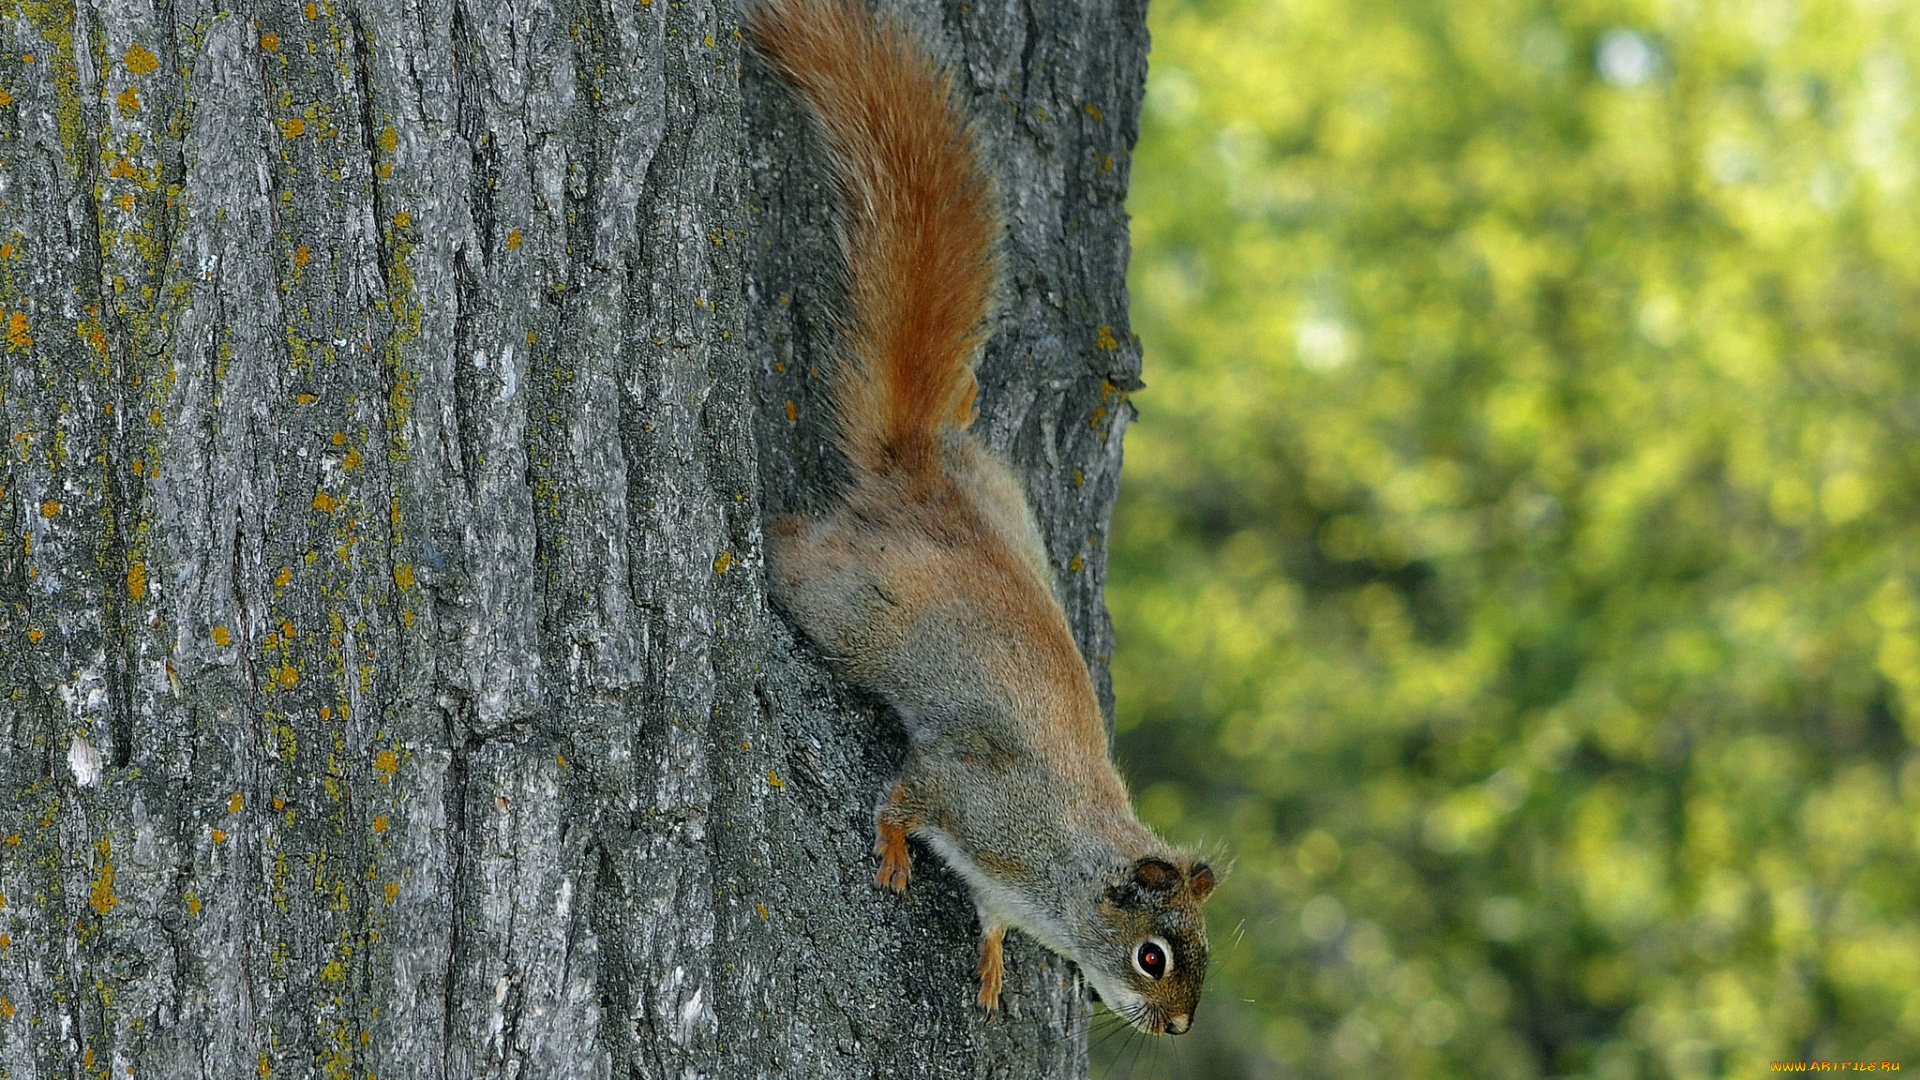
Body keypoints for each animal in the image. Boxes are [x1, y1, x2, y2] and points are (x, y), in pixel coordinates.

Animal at [748, 0, 1213, 1030]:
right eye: (1154, 956)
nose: (1176, 1027)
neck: (1062, 876)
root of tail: (926, 481)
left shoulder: (1003, 882)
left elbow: (994, 923)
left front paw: (996, 963)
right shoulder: (977, 795)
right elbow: (907, 795)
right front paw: (890, 849)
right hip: (854, 602)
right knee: (797, 554)